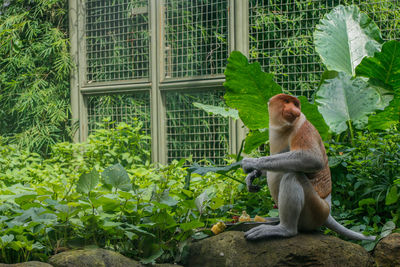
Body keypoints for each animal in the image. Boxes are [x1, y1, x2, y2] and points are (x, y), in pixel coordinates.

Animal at [242, 94, 376, 243]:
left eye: (295, 104)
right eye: (287, 101)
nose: (295, 111)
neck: (282, 128)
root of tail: (327, 210)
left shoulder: (302, 127)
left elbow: (312, 158)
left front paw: (250, 163)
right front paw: (252, 176)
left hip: (316, 210)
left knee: (292, 175)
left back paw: (284, 229)